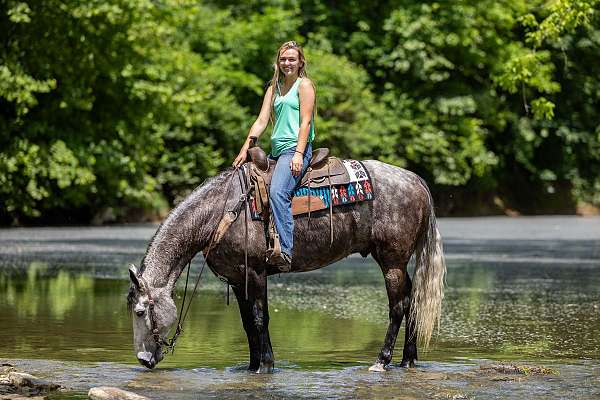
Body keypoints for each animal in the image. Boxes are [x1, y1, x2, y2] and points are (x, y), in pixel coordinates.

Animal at [127, 159, 446, 372]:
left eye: (141, 311)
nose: (143, 360)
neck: (222, 211)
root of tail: (415, 180)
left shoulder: (256, 274)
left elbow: (260, 319)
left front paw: (265, 365)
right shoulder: (238, 279)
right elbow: (247, 323)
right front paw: (251, 365)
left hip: (392, 261)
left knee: (397, 307)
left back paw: (382, 361)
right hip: (397, 262)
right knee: (412, 300)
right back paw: (408, 359)